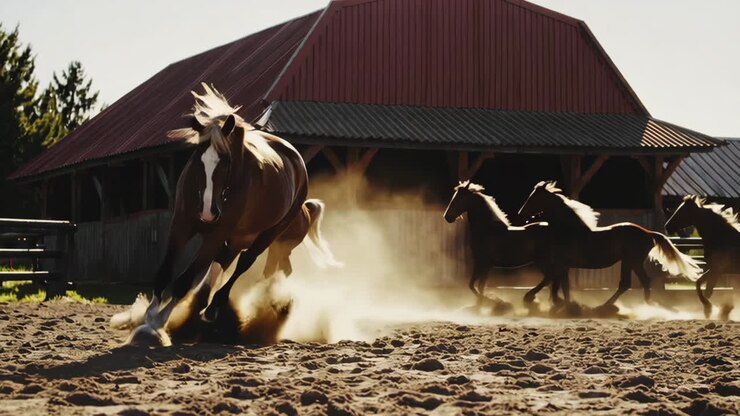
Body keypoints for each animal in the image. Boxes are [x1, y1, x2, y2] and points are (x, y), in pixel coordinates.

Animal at [148, 83, 308, 326]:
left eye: (226, 162)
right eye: (197, 159)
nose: (207, 212)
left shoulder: (217, 232)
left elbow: (185, 280)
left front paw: (159, 321)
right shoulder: (181, 223)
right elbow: (165, 271)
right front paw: (148, 314)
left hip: (267, 234)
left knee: (244, 262)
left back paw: (214, 305)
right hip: (239, 237)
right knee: (223, 260)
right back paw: (202, 303)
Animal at [443, 181, 561, 311]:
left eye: (460, 198)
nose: (447, 217)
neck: (488, 230)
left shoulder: (484, 263)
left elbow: (476, 286)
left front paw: (494, 302)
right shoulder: (482, 263)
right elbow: (475, 285)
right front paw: (482, 304)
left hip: (542, 260)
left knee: (550, 277)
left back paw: (530, 298)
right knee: (553, 278)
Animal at [518, 181, 702, 309]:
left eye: (533, 197)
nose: (520, 214)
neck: (569, 230)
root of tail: (648, 233)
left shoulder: (561, 264)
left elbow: (550, 279)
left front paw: (530, 298)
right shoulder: (564, 265)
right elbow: (562, 284)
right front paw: (564, 304)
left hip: (631, 261)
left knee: (631, 283)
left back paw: (611, 306)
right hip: (630, 262)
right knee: (635, 283)